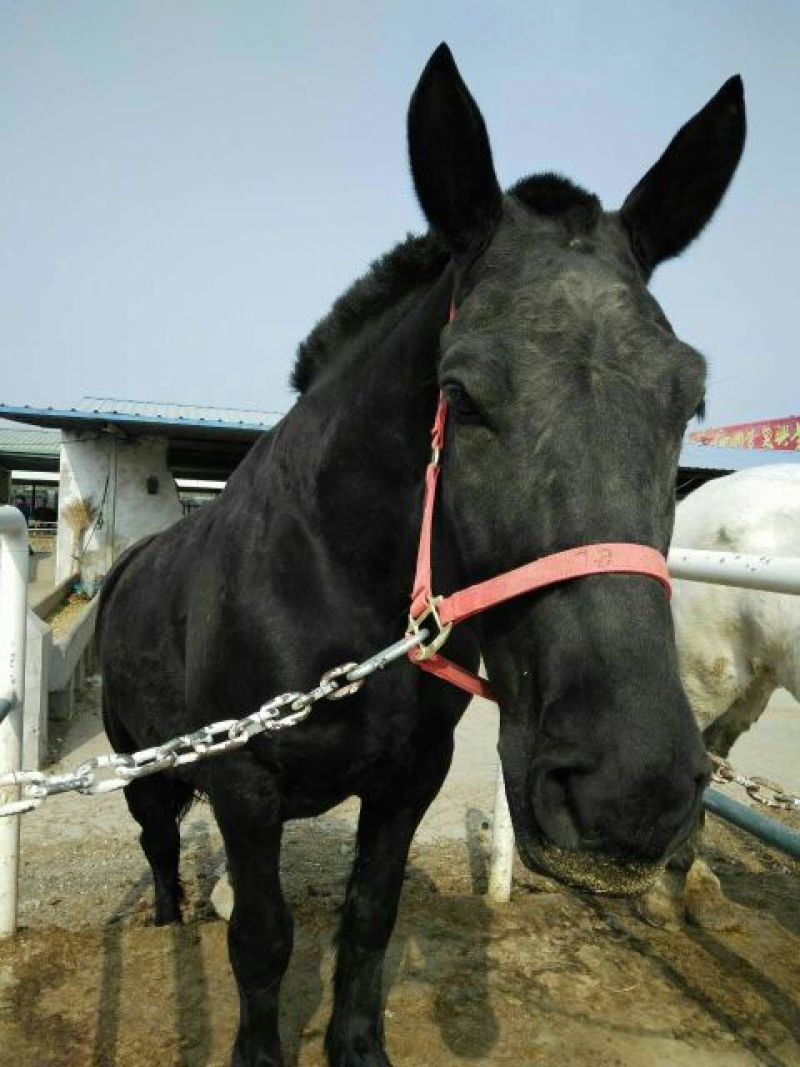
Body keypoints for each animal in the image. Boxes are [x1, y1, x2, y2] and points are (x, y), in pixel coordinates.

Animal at [97, 44, 746, 1067]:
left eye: (691, 398)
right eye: (461, 393)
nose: (629, 789)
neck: (330, 594)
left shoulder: (410, 780)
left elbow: (369, 917)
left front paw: (357, 1043)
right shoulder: (242, 785)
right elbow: (263, 941)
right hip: (141, 764)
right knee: (159, 844)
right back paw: (169, 918)